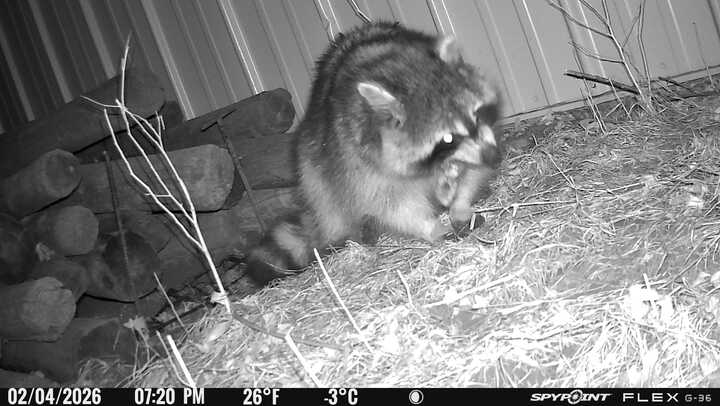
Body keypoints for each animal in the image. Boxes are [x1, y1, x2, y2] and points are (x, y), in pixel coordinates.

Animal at [246, 21, 502, 285]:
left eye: (477, 115)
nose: (495, 157)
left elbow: (471, 173)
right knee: (325, 195)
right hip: (314, 159)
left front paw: (460, 204)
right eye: (447, 138)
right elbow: (392, 205)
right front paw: (429, 226)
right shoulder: (357, 160)